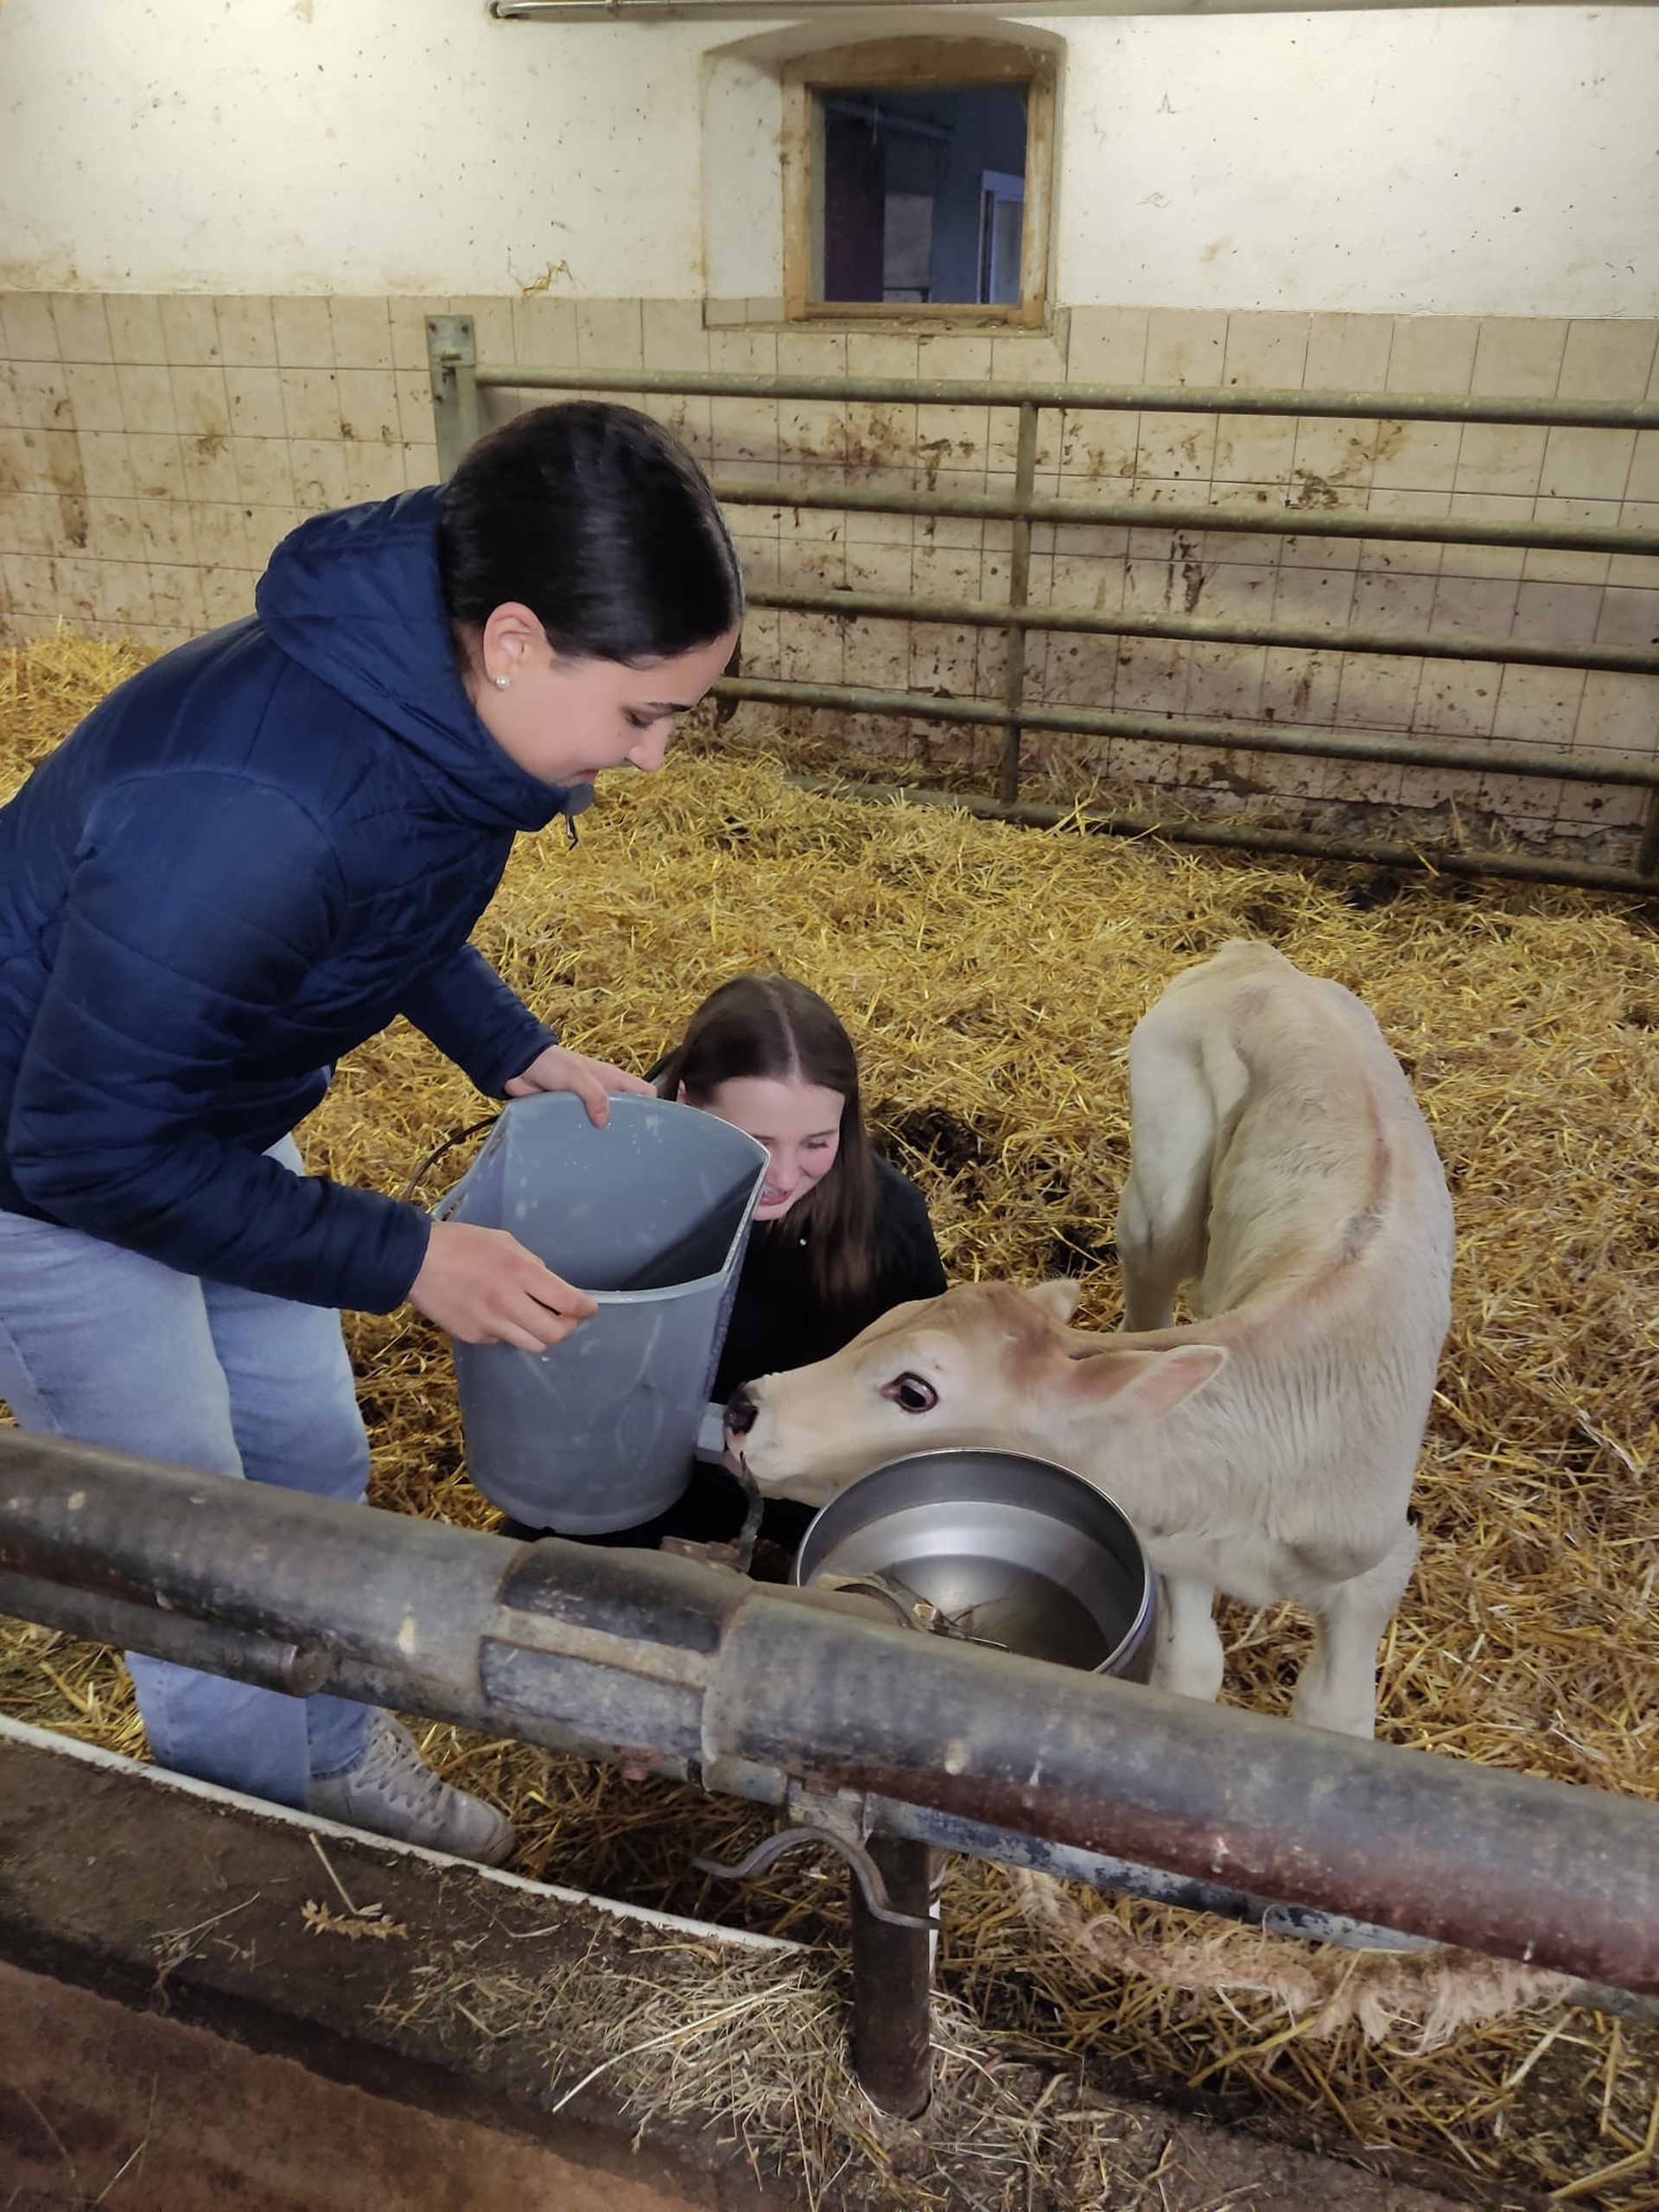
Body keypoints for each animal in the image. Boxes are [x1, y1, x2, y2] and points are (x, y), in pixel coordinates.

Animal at [734, 942, 1459, 1734]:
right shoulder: (1175, 1545)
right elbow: (1190, 1671)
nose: (744, 1407)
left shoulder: (1377, 1564)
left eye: (915, 1391)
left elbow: (1335, 1712)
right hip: (1162, 1182)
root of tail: (1258, 958)